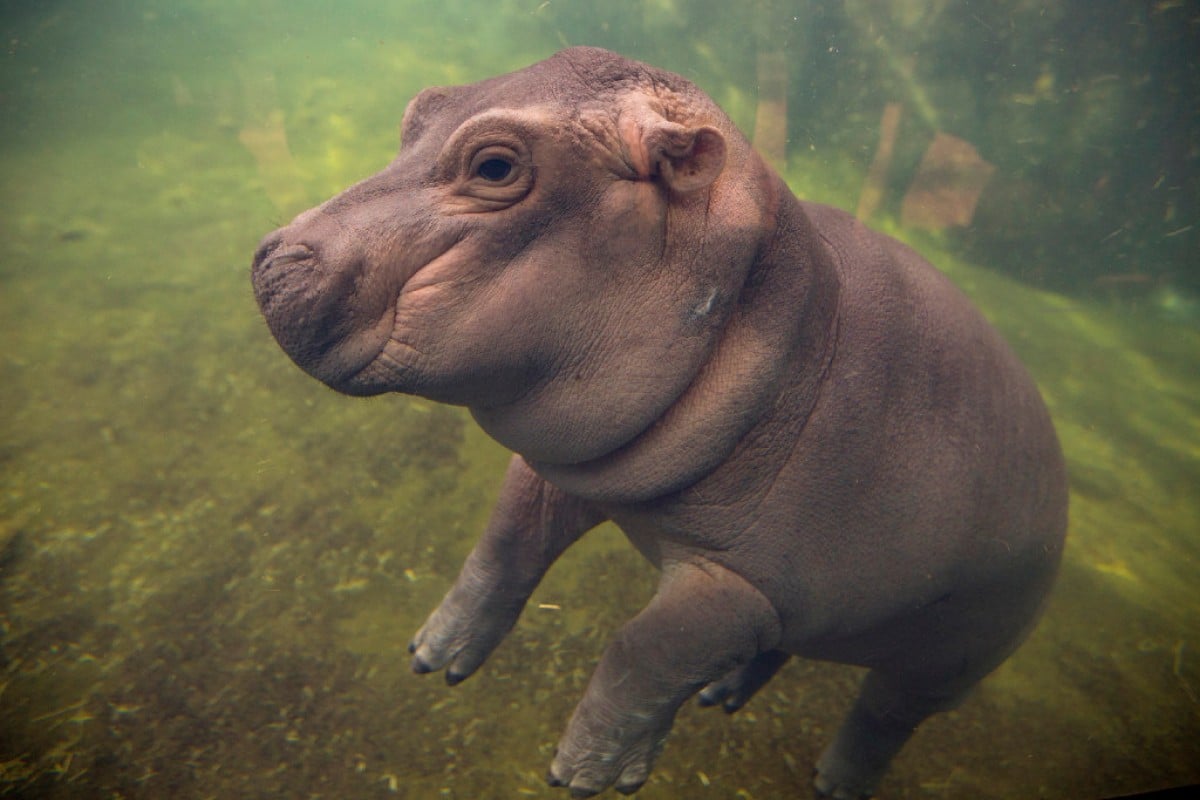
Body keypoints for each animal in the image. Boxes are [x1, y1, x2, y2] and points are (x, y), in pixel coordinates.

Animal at [248, 47, 1065, 796]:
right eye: (420, 108)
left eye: (495, 166)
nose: (271, 258)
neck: (778, 315)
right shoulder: (571, 468)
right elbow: (503, 547)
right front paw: (433, 656)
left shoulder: (742, 584)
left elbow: (644, 649)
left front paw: (585, 774)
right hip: (826, 611)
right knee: (784, 648)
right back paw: (722, 695)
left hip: (948, 658)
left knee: (884, 716)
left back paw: (834, 783)